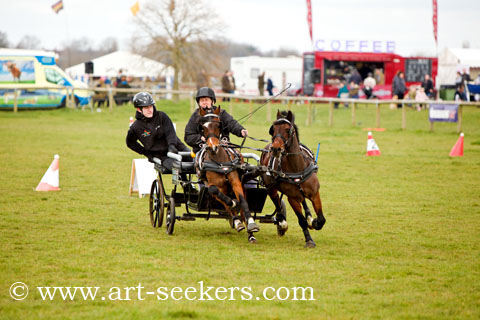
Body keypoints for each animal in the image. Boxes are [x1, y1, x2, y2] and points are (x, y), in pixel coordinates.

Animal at [198, 106, 260, 244]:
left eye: (218, 125)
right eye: (203, 127)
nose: (213, 147)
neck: (220, 162)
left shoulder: (235, 182)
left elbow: (243, 202)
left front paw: (252, 225)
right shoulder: (214, 186)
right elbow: (219, 194)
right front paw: (233, 204)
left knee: (242, 208)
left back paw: (250, 233)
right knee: (226, 205)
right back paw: (237, 221)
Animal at [262, 110, 326, 248]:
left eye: (288, 129)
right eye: (273, 129)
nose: (275, 149)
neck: (297, 169)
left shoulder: (315, 193)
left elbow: (321, 219)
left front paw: (314, 222)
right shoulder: (292, 198)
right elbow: (301, 220)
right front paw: (309, 240)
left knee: (303, 201)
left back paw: (309, 217)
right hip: (271, 189)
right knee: (277, 202)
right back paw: (281, 222)